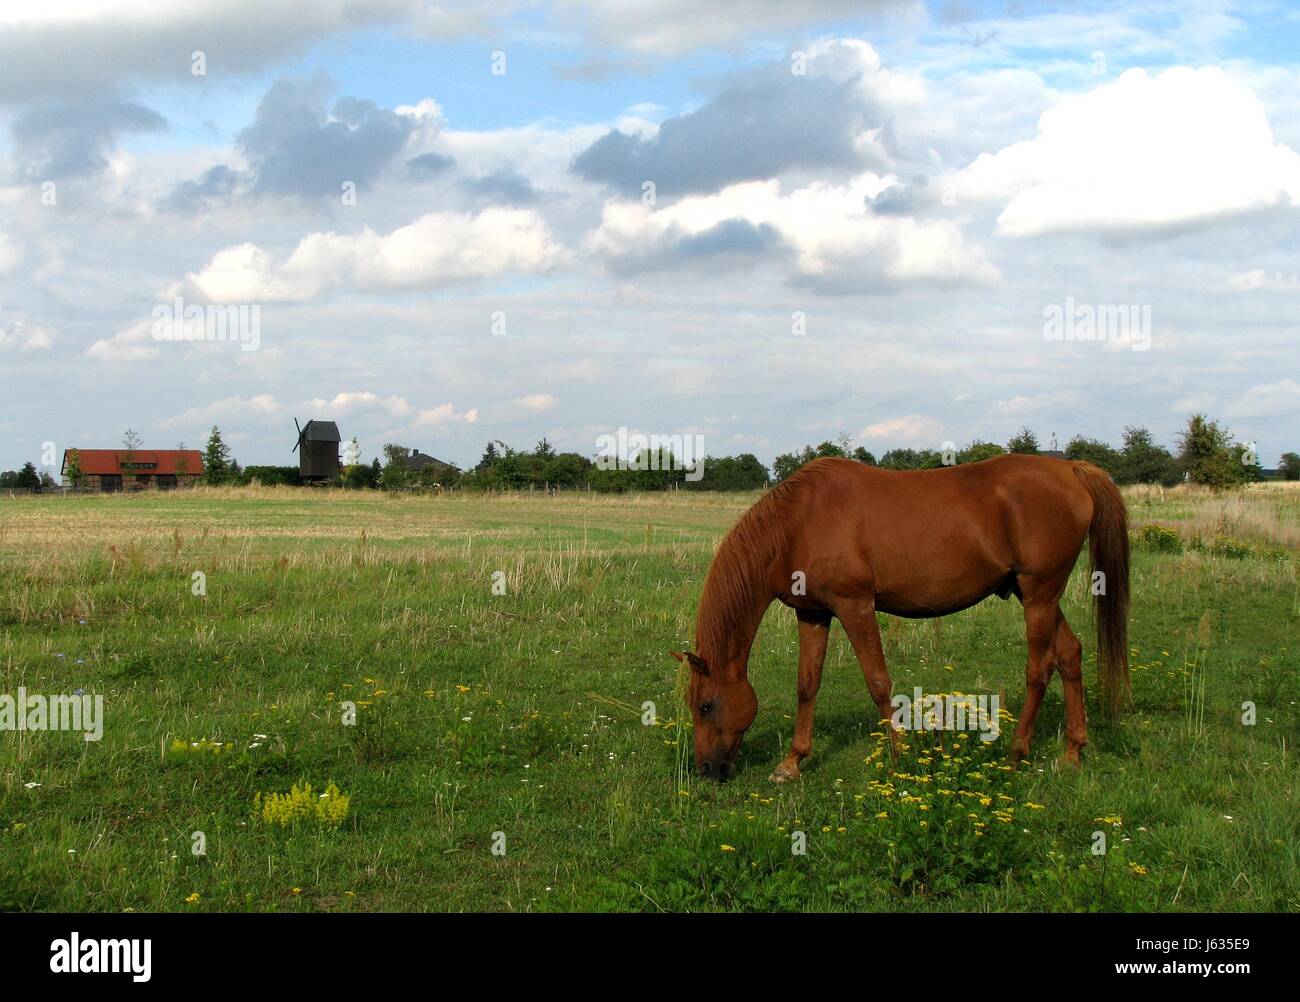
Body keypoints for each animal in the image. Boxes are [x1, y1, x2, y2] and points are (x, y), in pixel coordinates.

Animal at [670, 454, 1128, 784]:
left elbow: (878, 683)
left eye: (707, 705)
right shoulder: (813, 612)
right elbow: (807, 684)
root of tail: (1071, 469)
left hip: (1038, 595)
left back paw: (1017, 752)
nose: (706, 769)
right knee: (1069, 654)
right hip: (1035, 594)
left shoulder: (854, 606)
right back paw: (1073, 752)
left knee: (1039, 668)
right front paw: (792, 762)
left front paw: (897, 758)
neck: (798, 523)